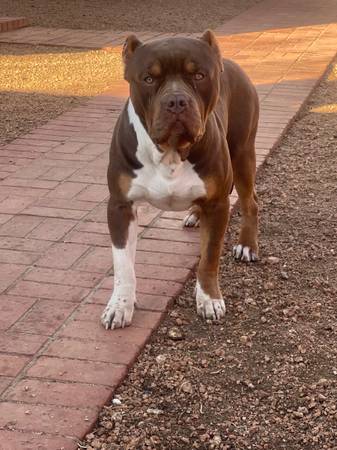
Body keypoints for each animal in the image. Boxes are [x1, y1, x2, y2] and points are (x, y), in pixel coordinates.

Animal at [101, 29, 258, 328]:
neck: (170, 152)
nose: (176, 101)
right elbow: (123, 264)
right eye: (148, 78)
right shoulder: (120, 206)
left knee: (250, 202)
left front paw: (209, 299)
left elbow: (209, 257)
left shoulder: (217, 204)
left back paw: (247, 245)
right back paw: (196, 215)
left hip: (243, 154)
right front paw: (120, 305)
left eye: (199, 75)